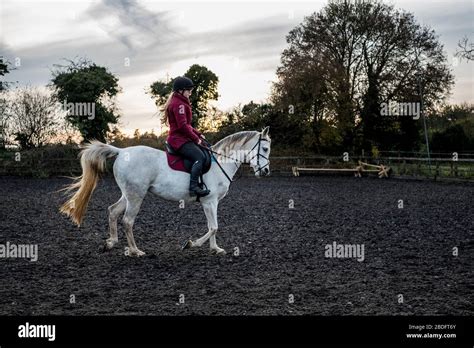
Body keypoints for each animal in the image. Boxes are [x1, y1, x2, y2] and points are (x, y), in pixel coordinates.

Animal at [60, 127, 270, 256]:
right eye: (266, 149)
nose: (266, 172)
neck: (221, 162)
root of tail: (121, 151)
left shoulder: (213, 202)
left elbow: (214, 227)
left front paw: (215, 249)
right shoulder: (209, 201)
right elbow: (214, 227)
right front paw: (191, 244)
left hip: (128, 195)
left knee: (112, 211)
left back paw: (111, 243)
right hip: (136, 196)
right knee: (127, 221)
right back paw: (135, 251)